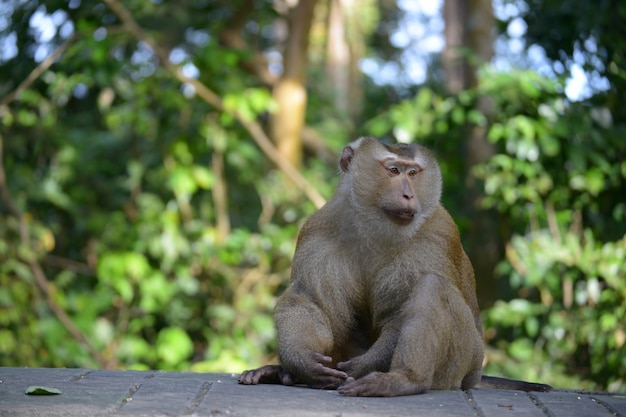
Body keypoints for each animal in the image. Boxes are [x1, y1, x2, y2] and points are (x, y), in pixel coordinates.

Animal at [236, 137, 548, 396]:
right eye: (394, 171)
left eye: (413, 173)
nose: (409, 195)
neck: (374, 226)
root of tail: (475, 375)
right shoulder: (318, 230)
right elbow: (310, 300)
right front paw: (301, 361)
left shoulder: (437, 234)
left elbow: (398, 315)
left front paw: (359, 367)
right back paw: (282, 374)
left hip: (463, 360)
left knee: (432, 287)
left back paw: (404, 380)